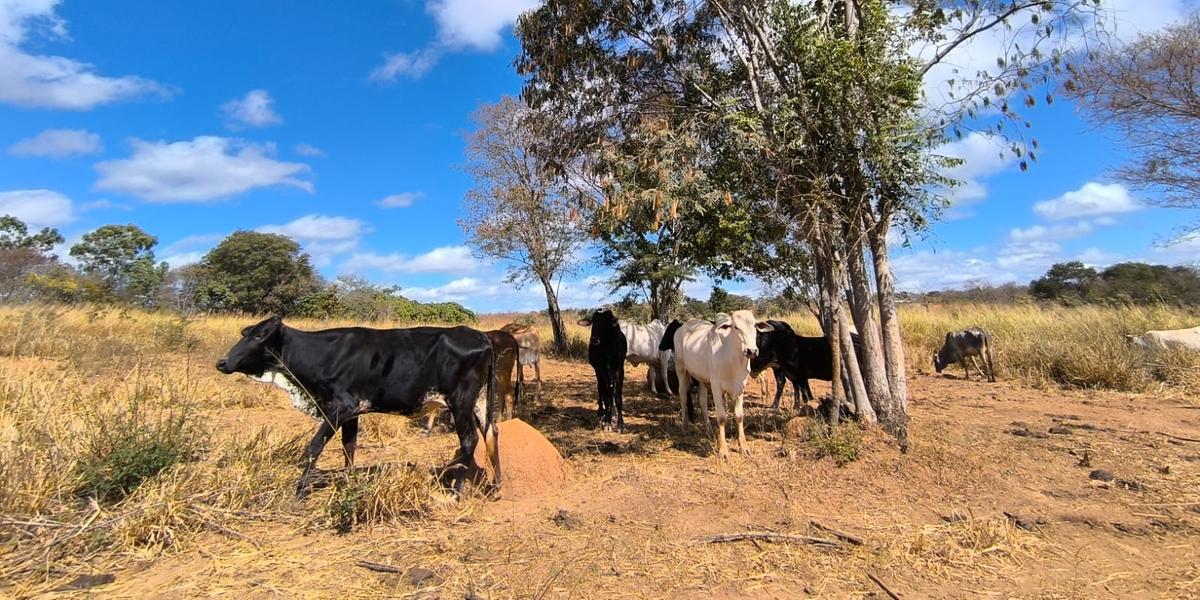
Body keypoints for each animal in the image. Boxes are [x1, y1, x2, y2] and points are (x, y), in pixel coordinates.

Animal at [213, 316, 499, 499]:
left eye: (259, 335)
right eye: (245, 334)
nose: (222, 362)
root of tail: (480, 336)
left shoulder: (340, 407)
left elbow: (313, 448)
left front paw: (299, 492)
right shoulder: (352, 413)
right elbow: (349, 447)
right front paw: (348, 481)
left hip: (460, 402)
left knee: (469, 441)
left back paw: (451, 487)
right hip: (478, 402)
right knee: (490, 434)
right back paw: (494, 487)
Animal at [672, 309, 772, 458]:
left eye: (754, 326)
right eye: (735, 327)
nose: (751, 351)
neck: (733, 360)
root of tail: (683, 327)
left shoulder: (740, 386)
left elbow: (739, 416)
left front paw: (744, 447)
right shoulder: (716, 386)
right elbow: (722, 417)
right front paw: (723, 450)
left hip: (702, 378)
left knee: (702, 400)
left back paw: (708, 429)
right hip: (681, 369)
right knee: (683, 395)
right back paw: (685, 427)